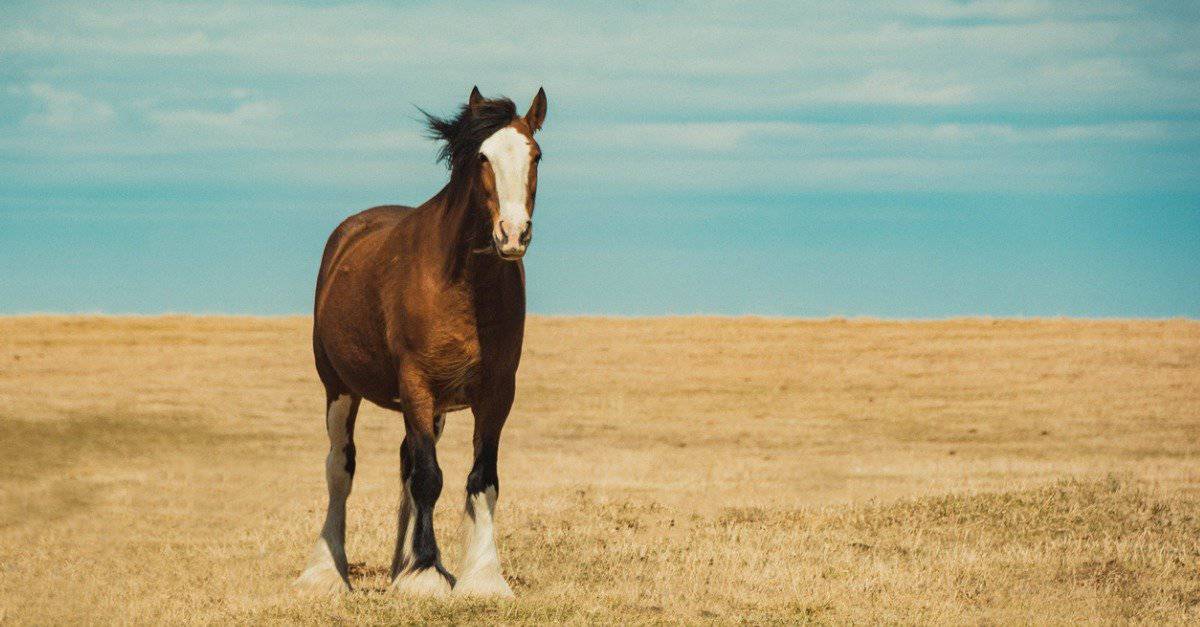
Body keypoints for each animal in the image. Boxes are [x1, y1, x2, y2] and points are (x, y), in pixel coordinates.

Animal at [294, 86, 547, 597]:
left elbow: (481, 478)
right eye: (482, 157)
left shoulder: (496, 391)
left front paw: (480, 576)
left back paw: (401, 564)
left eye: (536, 155)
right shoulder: (416, 383)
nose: (513, 234)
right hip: (340, 389)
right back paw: (326, 572)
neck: (463, 285)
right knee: (340, 468)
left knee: (407, 463)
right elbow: (430, 478)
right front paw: (427, 575)